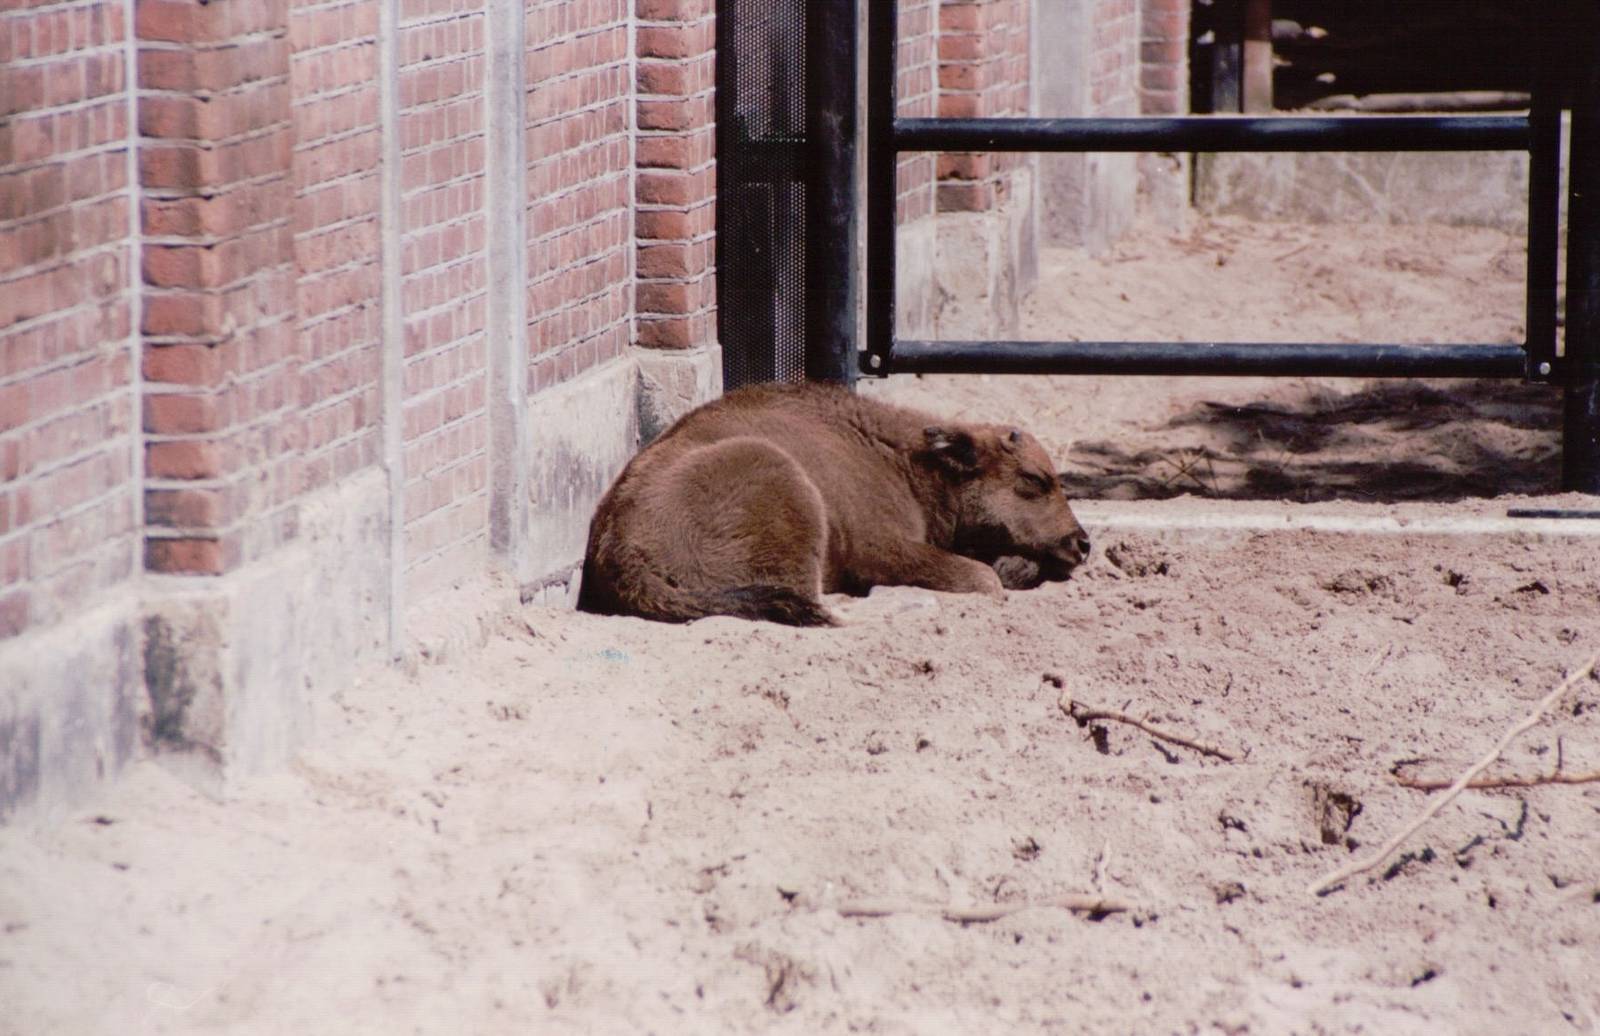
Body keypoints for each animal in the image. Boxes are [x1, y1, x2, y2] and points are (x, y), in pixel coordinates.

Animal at [576, 382, 1090, 626]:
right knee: (816, 603)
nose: (1081, 543)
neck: (905, 458)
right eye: (1034, 479)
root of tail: (617, 543)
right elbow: (983, 580)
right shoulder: (882, 548)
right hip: (784, 486)